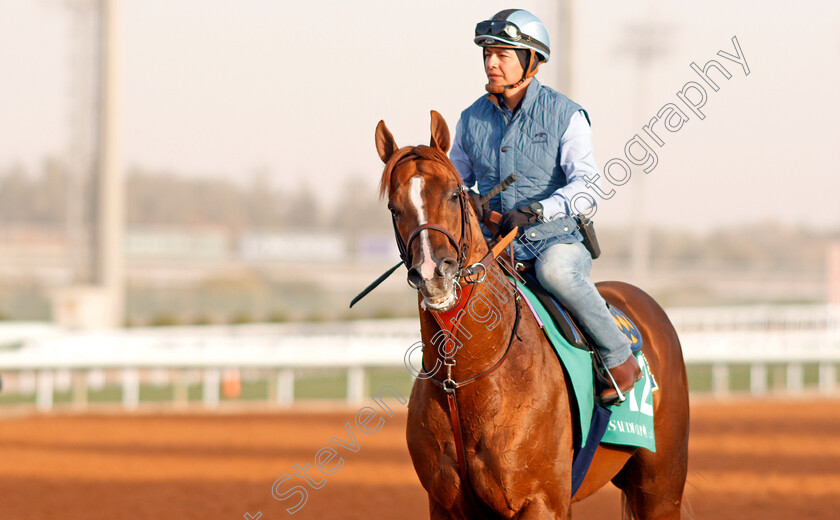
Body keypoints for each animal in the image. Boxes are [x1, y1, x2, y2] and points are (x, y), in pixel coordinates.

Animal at [376, 111, 688, 516]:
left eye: (454, 193)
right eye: (394, 208)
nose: (433, 273)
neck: (464, 380)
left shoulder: (542, 502)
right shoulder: (446, 505)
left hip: (661, 487)